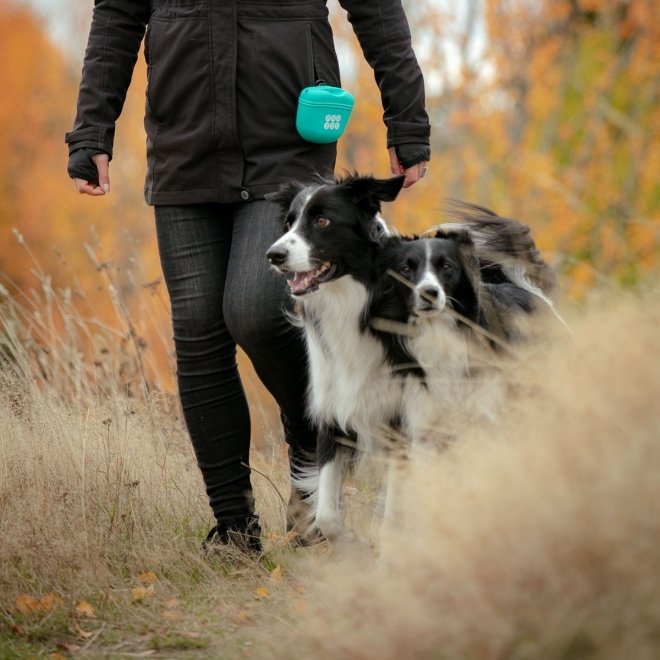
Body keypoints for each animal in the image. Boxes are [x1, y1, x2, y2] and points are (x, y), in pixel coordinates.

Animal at [266, 174, 560, 540]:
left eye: (322, 221)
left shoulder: (404, 425)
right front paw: (353, 545)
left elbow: (392, 514)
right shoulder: (337, 414)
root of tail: (526, 290)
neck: (362, 311)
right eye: (289, 223)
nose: (273, 255)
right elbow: (328, 517)